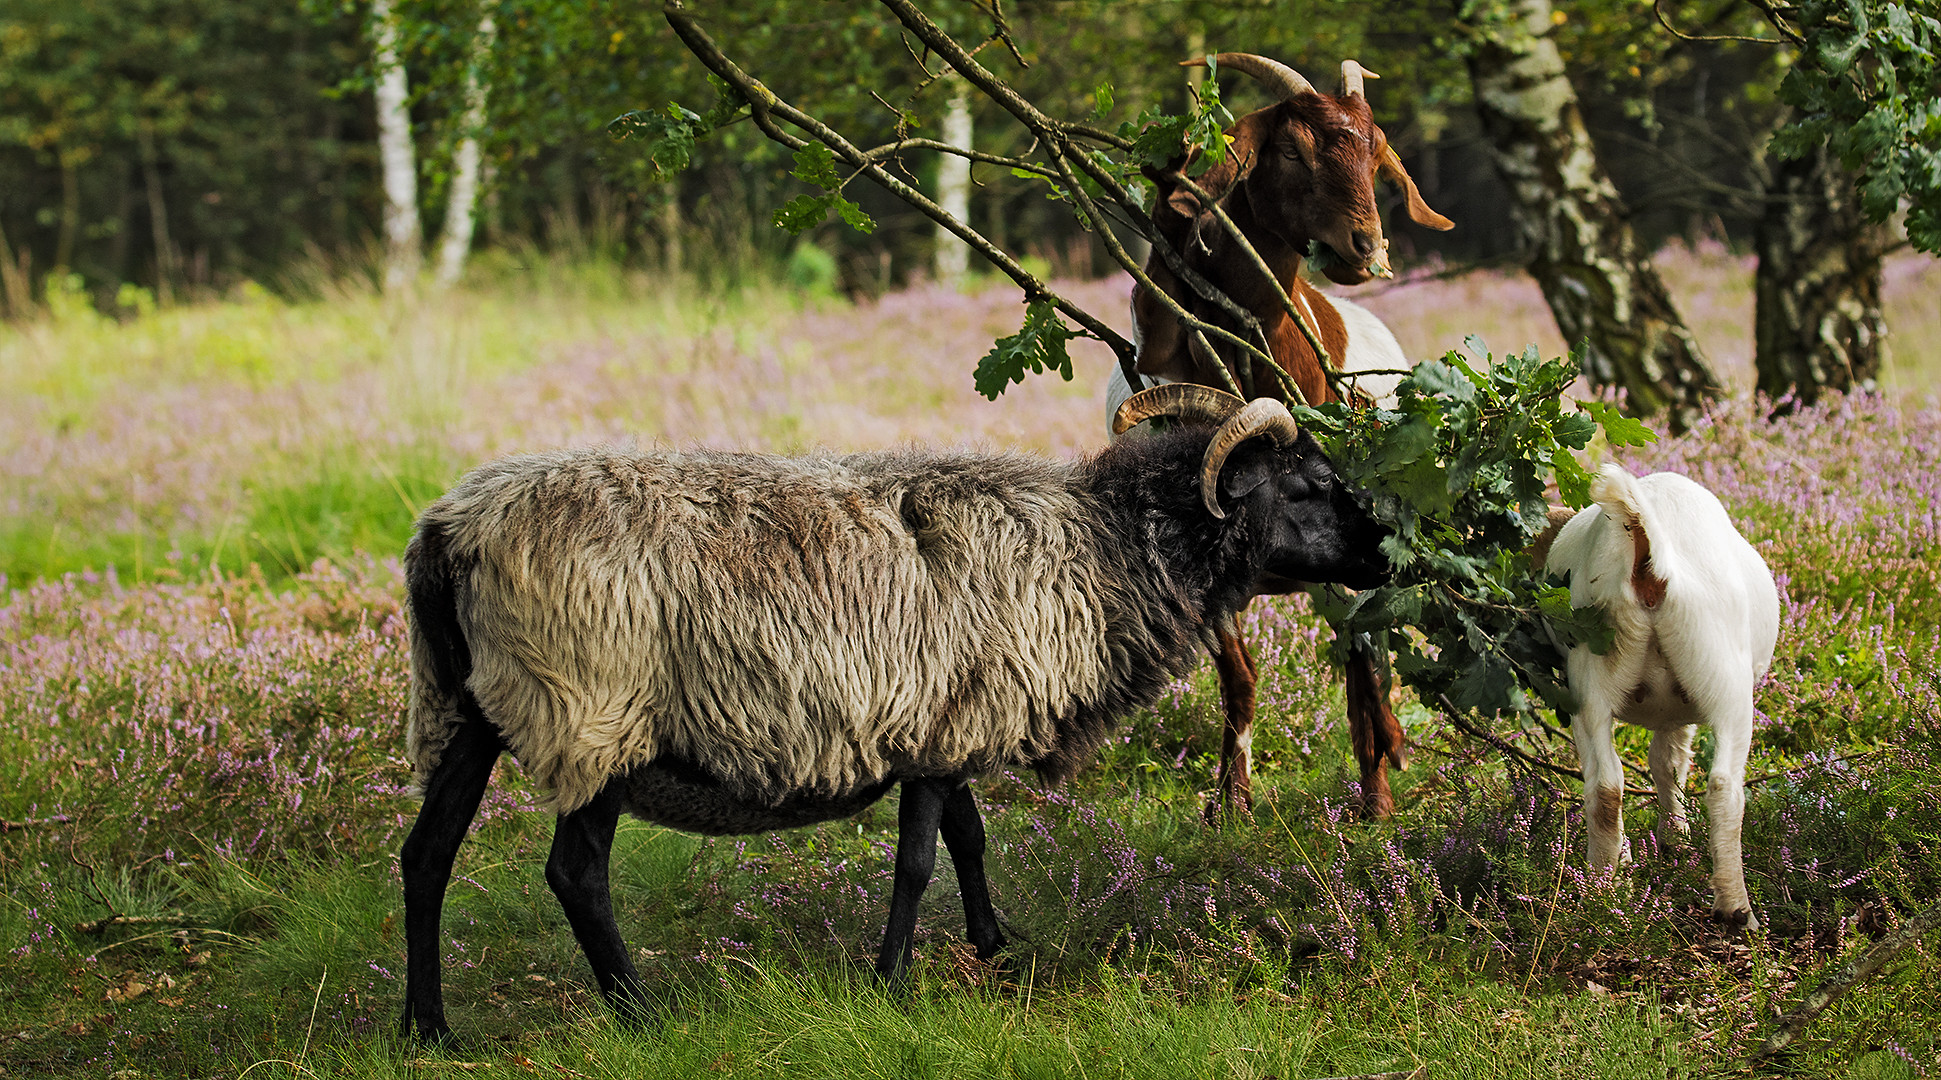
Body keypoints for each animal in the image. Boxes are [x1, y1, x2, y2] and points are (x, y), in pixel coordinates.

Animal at [1118, 52, 1451, 819]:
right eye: (1293, 150)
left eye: (1375, 150)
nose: (1367, 246)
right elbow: (1238, 682)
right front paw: (1229, 804)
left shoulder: (1353, 554)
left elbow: (1362, 662)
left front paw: (1378, 803)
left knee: (1366, 660)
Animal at [1537, 460, 1777, 924]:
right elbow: (1674, 763)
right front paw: (1677, 839)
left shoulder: (1667, 711)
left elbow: (1664, 763)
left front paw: (1671, 842)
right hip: (1724, 673)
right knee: (1724, 785)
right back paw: (1736, 911)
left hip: (1591, 672)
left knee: (1605, 785)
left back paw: (1602, 890)